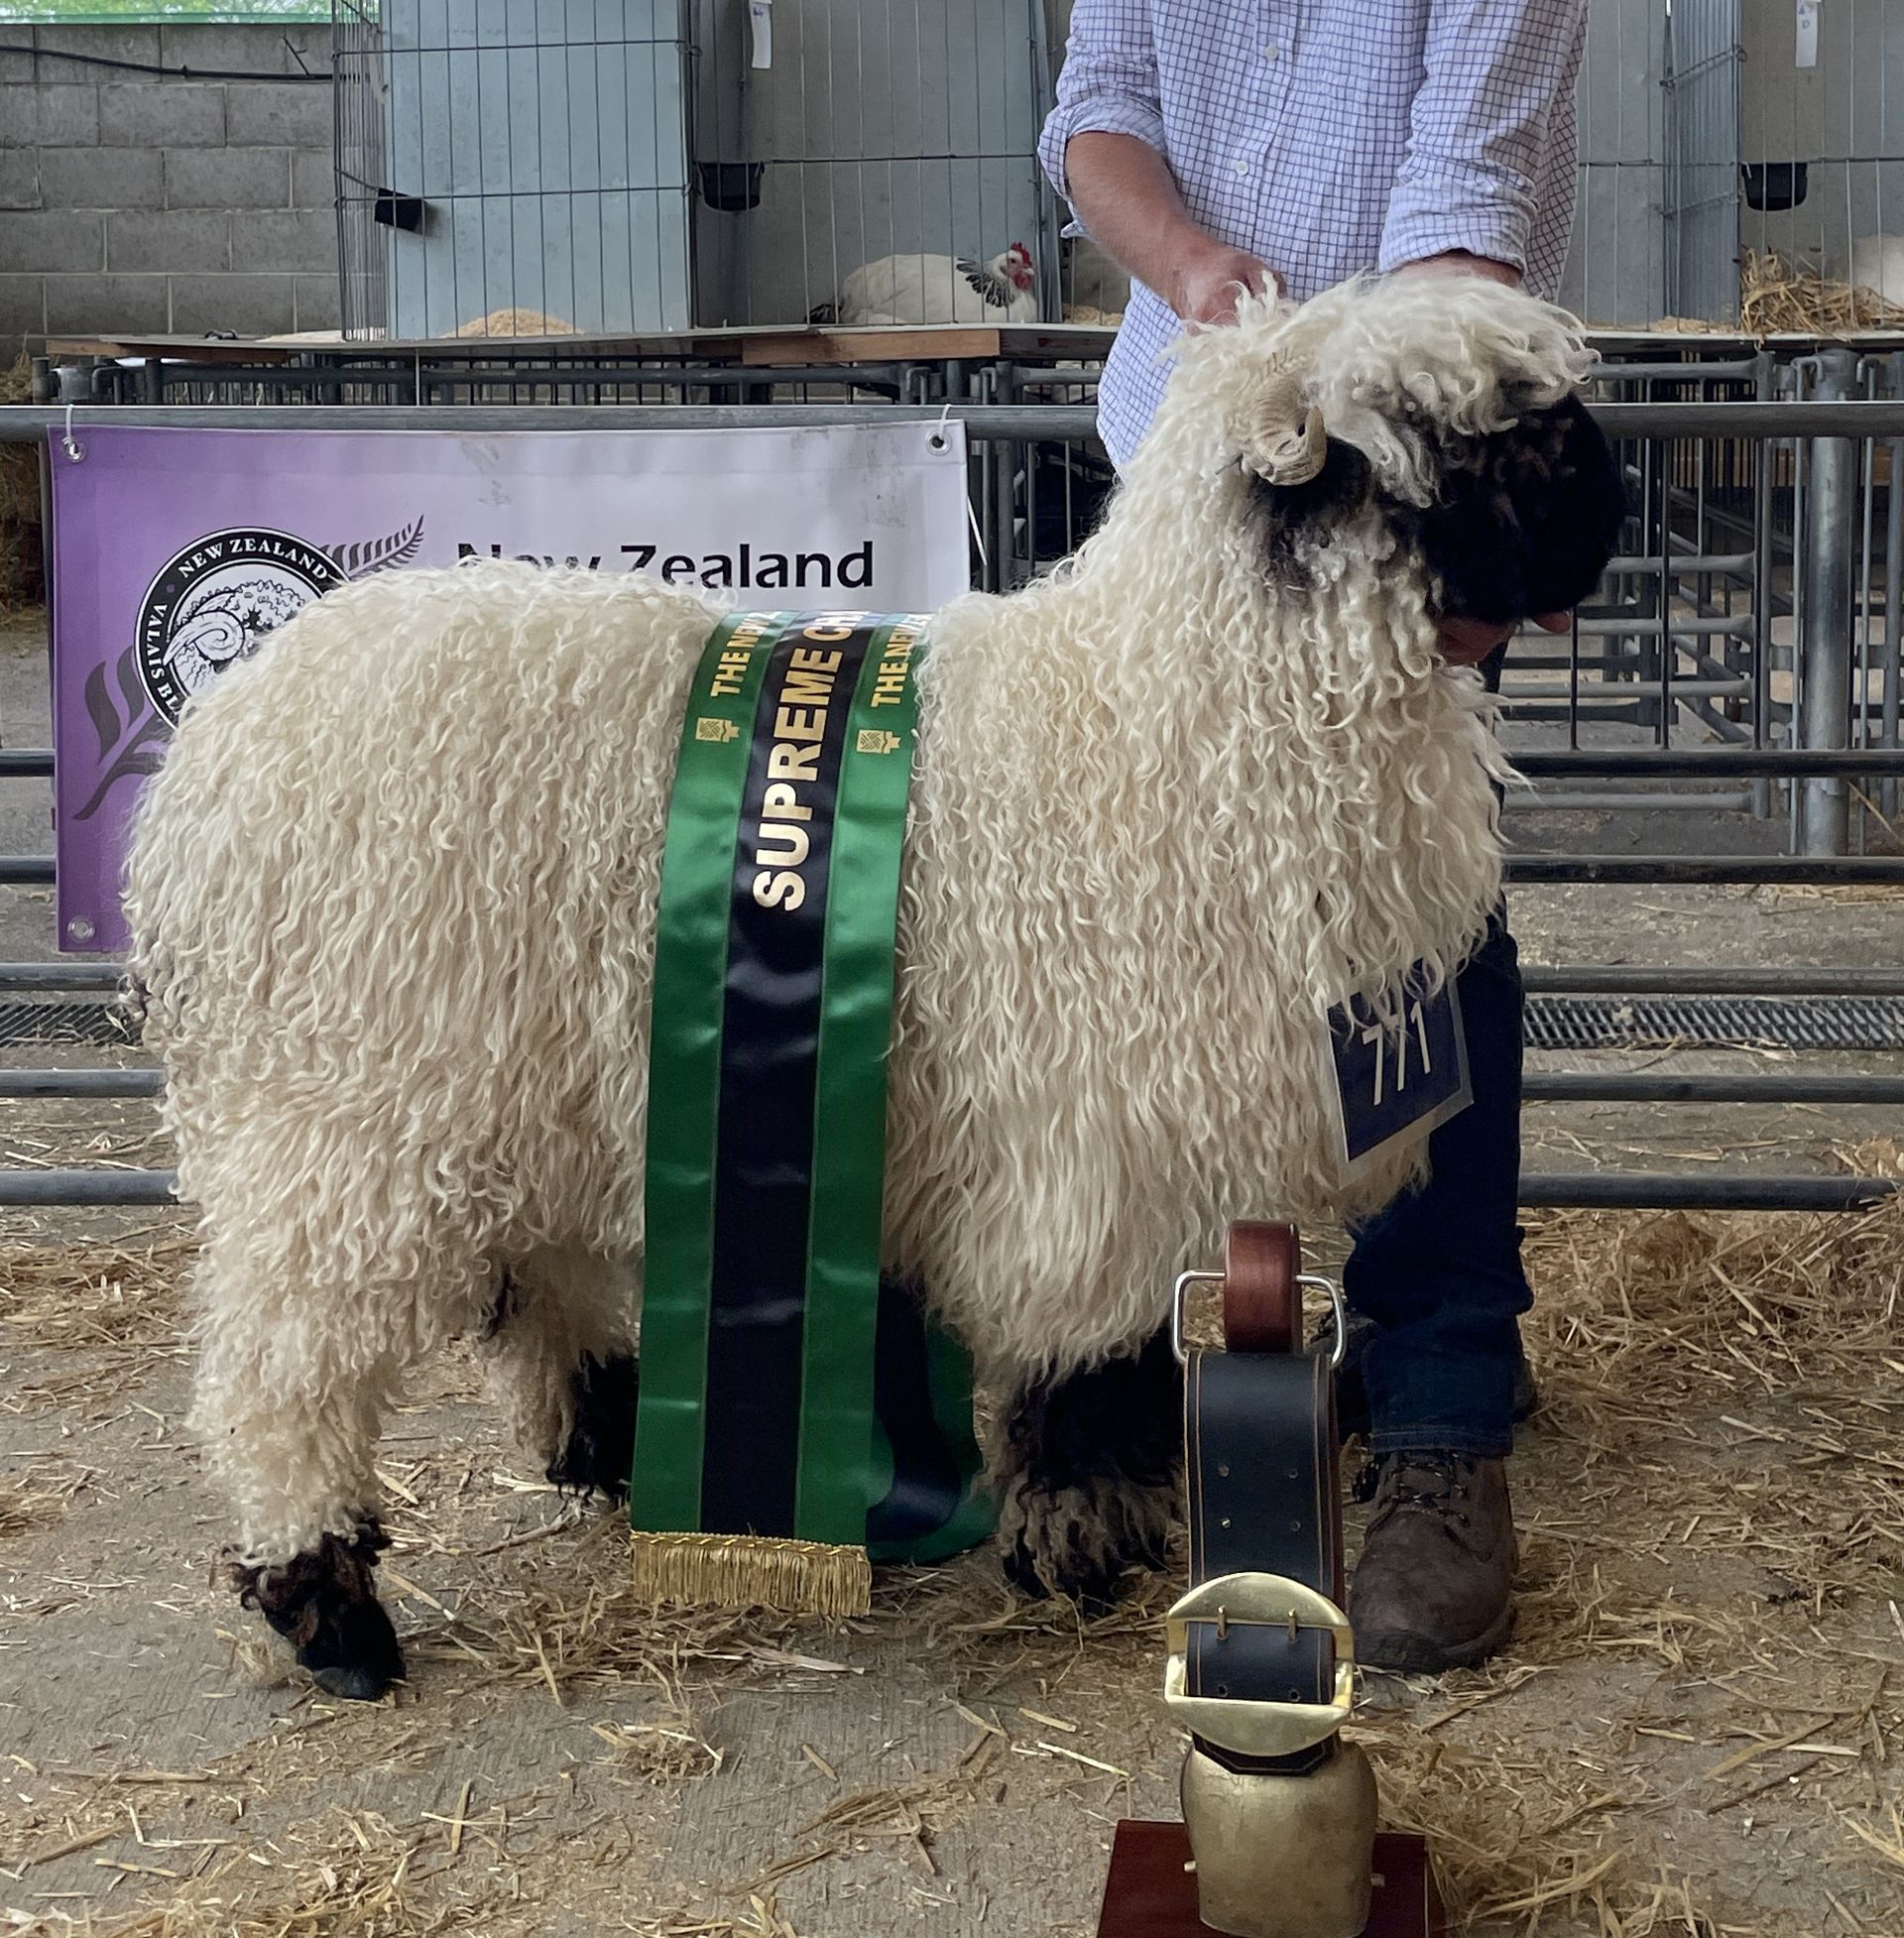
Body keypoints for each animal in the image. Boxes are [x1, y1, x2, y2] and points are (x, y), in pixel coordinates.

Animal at [126, 273, 1626, 1697]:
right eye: (1480, 439)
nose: (1611, 507)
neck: (1176, 716)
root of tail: (216, 748)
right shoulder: (1089, 1134)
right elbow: (1091, 1352)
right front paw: (1078, 1538)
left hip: (517, 1074)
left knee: (533, 1272)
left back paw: (612, 1435)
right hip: (345, 1109)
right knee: (282, 1359)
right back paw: (328, 1609)